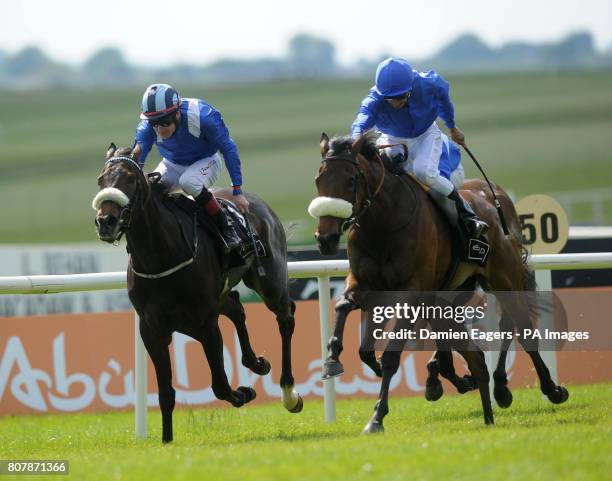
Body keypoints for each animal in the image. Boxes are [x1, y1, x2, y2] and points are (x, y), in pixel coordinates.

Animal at [92, 143, 302, 442]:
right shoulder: (152, 329)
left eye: (130, 180)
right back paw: (256, 362)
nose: (106, 222)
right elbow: (166, 393)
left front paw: (245, 392)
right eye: (101, 180)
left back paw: (289, 393)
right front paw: (167, 441)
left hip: (269, 280)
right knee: (236, 307)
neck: (161, 257)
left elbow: (220, 385)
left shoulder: (205, 323)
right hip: (222, 293)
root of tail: (253, 201)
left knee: (285, 317)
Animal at [310, 133, 568, 434]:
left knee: (520, 327)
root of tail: (494, 203)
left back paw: (546, 388)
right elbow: (348, 318)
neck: (384, 224)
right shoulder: (366, 283)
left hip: (504, 278)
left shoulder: (411, 292)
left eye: (351, 181)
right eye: (318, 180)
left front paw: (377, 416)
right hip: (458, 288)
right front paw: (332, 361)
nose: (325, 238)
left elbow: (391, 356)